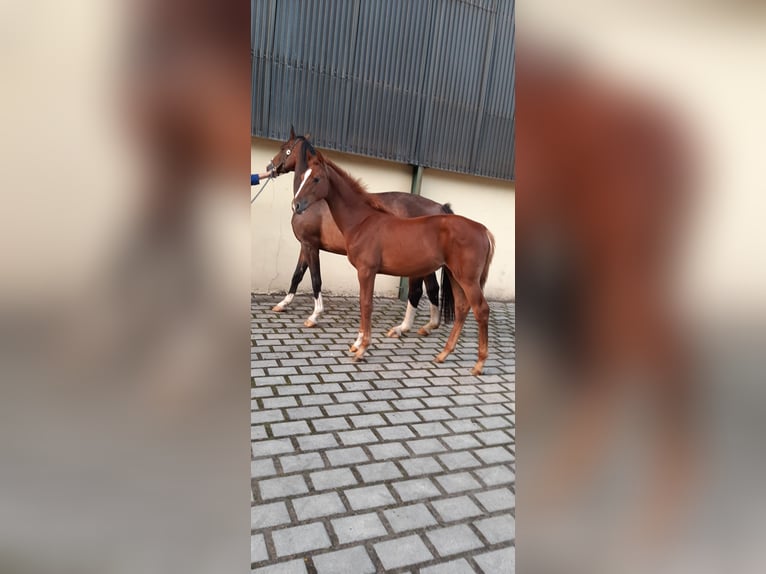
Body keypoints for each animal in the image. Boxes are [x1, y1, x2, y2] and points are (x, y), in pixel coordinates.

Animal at [263, 127, 453, 337]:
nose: (269, 167)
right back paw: (428, 326)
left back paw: (404, 327)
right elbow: (297, 274)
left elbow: (315, 279)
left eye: (284, 148)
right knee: (433, 288)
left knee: (418, 291)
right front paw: (283, 304)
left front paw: (314, 316)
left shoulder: (310, 245)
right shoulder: (306, 246)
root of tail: (439, 207)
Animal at [291, 140, 495, 375]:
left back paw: (479, 364)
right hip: (455, 275)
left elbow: (366, 304)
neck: (362, 221)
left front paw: (362, 348)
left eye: (316, 178)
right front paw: (357, 344)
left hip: (468, 279)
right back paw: (443, 354)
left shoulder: (366, 271)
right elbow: (364, 304)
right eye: (302, 176)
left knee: (481, 310)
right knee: (462, 308)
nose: (296, 205)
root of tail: (483, 230)